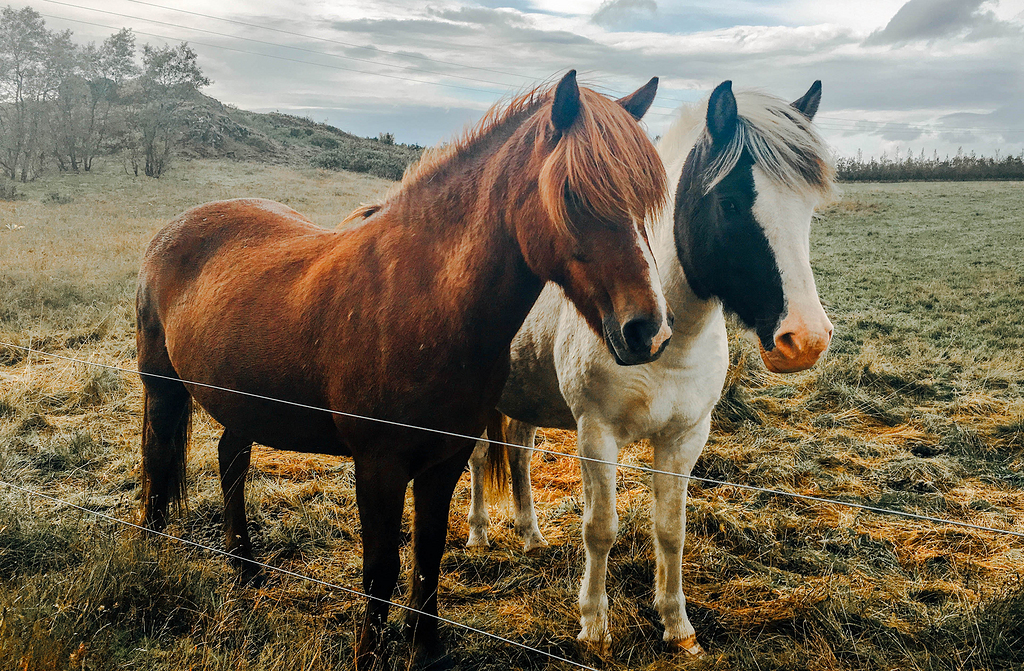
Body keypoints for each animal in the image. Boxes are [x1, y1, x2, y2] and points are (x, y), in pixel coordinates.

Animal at [136, 69, 671, 667]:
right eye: (574, 195)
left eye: (645, 202)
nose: (647, 330)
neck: (422, 302)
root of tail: (175, 227)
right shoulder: (379, 466)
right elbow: (381, 569)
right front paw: (368, 654)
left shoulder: (446, 459)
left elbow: (428, 556)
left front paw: (426, 645)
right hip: (162, 388)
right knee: (158, 462)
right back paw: (154, 555)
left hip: (246, 404)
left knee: (231, 461)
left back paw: (246, 568)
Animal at [468, 79, 835, 655]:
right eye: (731, 203)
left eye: (809, 211)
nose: (806, 340)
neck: (670, 343)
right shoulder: (596, 436)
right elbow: (600, 529)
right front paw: (594, 626)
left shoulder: (684, 438)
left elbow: (671, 530)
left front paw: (677, 625)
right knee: (481, 459)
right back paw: (479, 533)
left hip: (524, 400)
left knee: (520, 458)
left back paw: (530, 536)